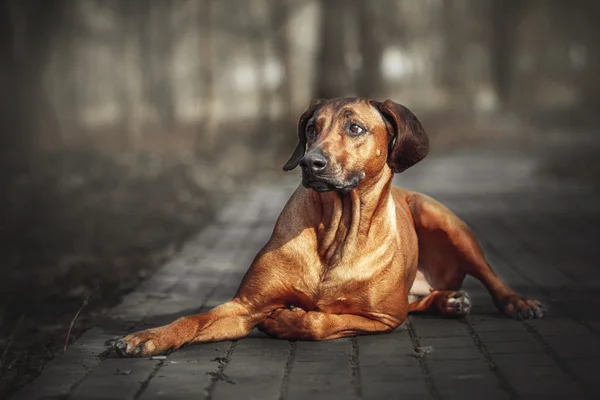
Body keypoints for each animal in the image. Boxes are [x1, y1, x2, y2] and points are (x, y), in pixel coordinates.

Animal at [111, 98, 544, 358]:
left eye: (355, 129)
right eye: (310, 129)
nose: (310, 163)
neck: (337, 231)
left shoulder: (383, 318)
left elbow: (323, 320)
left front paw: (290, 320)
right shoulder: (244, 306)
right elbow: (195, 319)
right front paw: (148, 336)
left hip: (441, 218)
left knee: (489, 275)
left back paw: (517, 303)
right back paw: (450, 300)